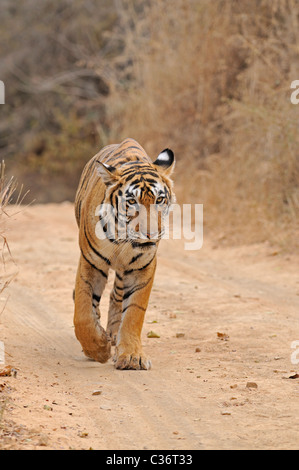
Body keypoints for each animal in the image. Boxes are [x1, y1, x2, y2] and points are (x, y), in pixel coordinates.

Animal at [73, 138, 175, 370]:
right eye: (131, 202)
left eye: (159, 200)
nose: (151, 234)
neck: (122, 239)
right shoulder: (91, 263)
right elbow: (82, 312)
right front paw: (98, 349)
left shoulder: (142, 267)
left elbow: (134, 312)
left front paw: (131, 356)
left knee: (116, 296)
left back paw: (112, 334)